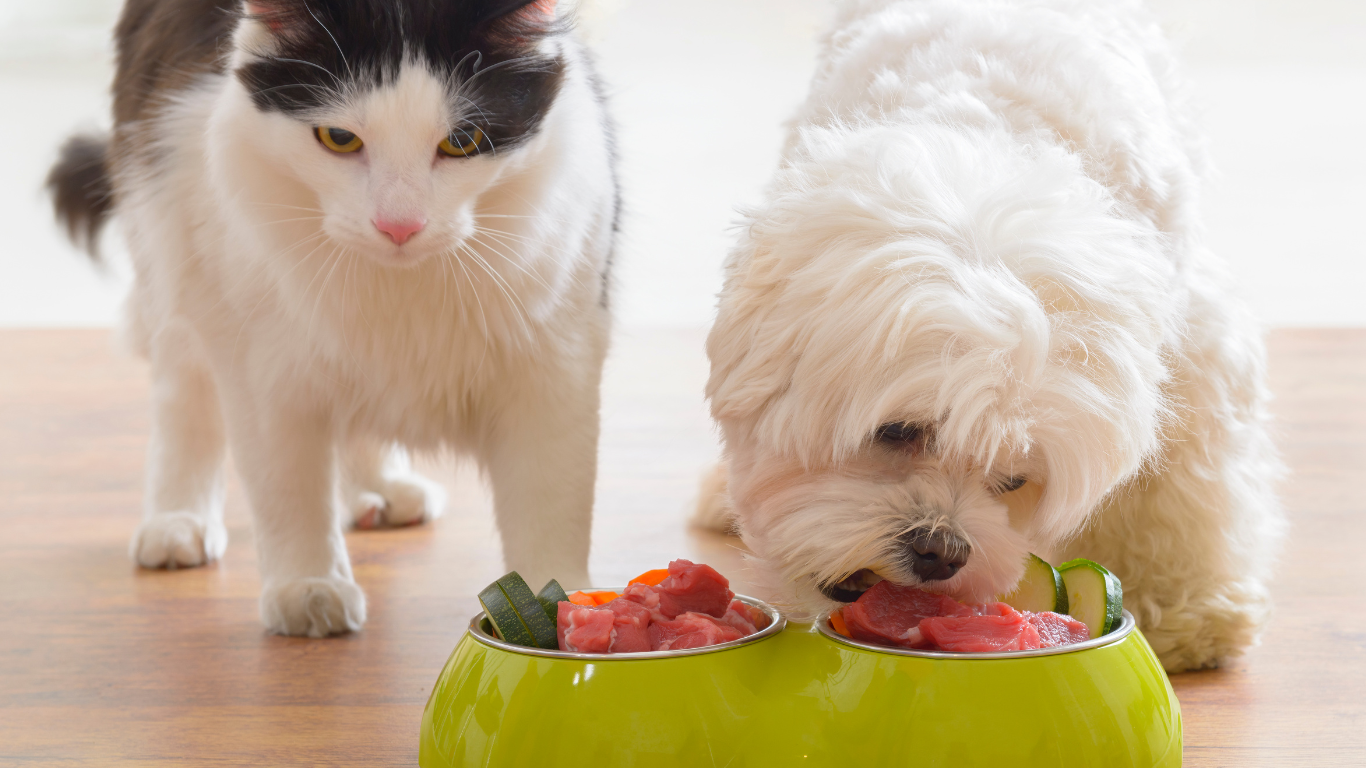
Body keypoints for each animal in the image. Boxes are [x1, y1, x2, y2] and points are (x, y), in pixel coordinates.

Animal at [45, 0, 617, 634]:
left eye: (462, 140)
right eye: (339, 139)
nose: (399, 225)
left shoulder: (558, 360)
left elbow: (551, 508)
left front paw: (567, 609)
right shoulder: (261, 362)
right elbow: (287, 488)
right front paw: (307, 586)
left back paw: (381, 488)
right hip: (172, 244)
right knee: (184, 396)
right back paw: (177, 521)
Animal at [699, 0, 1284, 669]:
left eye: (1014, 480)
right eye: (898, 431)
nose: (942, 551)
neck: (993, 136)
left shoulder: (1192, 336)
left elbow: (1179, 482)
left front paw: (1187, 611)